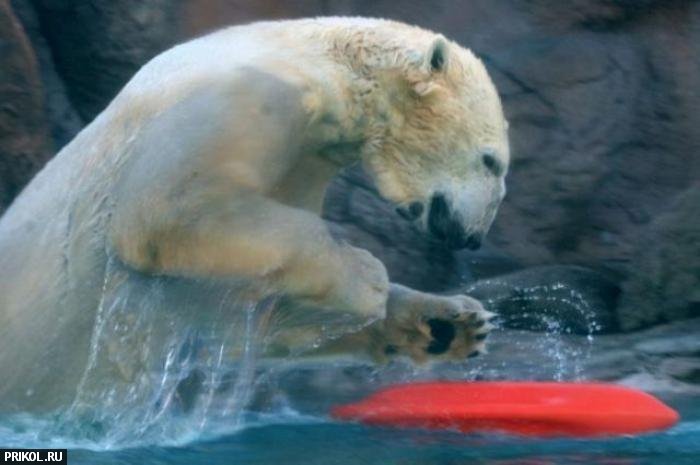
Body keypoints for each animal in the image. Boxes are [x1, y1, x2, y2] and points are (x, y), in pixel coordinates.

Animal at [0, 17, 509, 415]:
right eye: (492, 161)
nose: (474, 238)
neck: (324, 63)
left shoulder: (302, 157)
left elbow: (247, 314)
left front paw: (451, 323)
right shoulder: (248, 94)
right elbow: (170, 209)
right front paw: (367, 277)